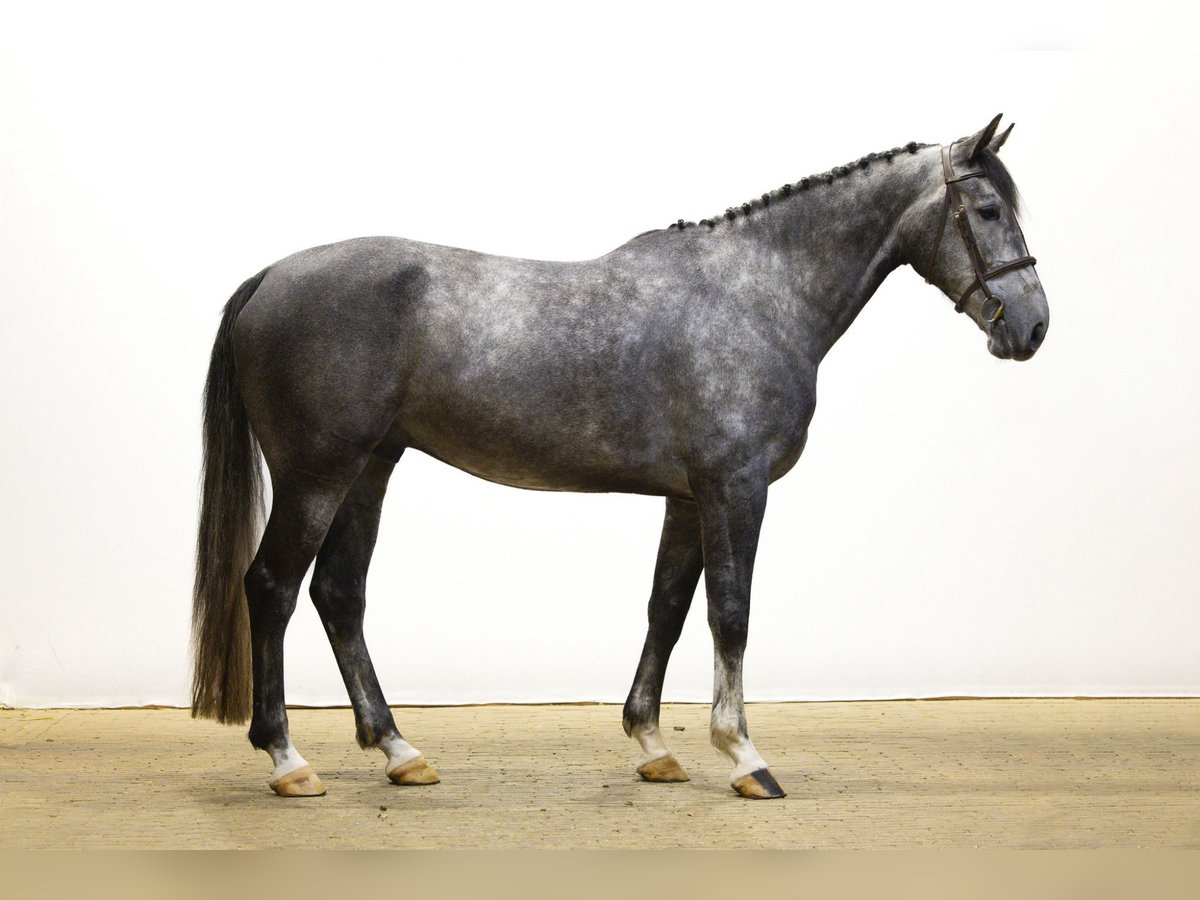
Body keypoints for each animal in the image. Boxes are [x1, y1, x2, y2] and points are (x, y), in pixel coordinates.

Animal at [191, 114, 1048, 800]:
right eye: (987, 209)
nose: (1032, 326)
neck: (757, 292)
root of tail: (269, 278)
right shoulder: (736, 488)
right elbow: (730, 613)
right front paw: (744, 757)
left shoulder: (689, 497)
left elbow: (666, 609)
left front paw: (654, 745)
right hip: (318, 475)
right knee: (272, 588)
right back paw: (289, 760)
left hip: (369, 469)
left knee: (339, 595)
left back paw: (401, 752)